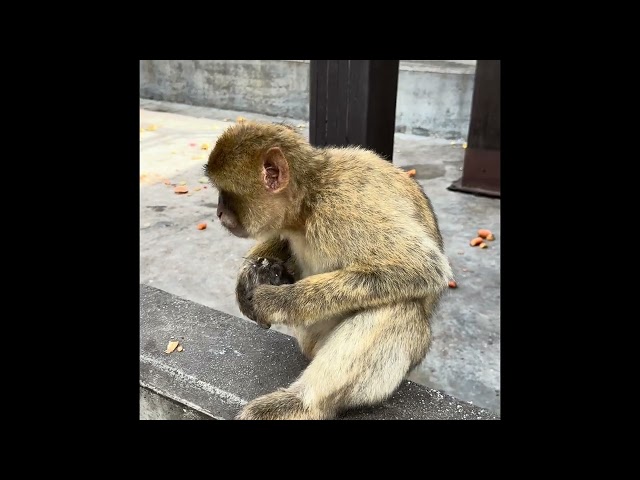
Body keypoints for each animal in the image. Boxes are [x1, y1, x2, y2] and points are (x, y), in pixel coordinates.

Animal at [204, 121, 450, 420]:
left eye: (225, 194)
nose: (218, 211)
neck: (308, 203)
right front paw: (250, 274)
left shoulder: (343, 207)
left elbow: (423, 265)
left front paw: (276, 300)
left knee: (400, 306)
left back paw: (303, 404)